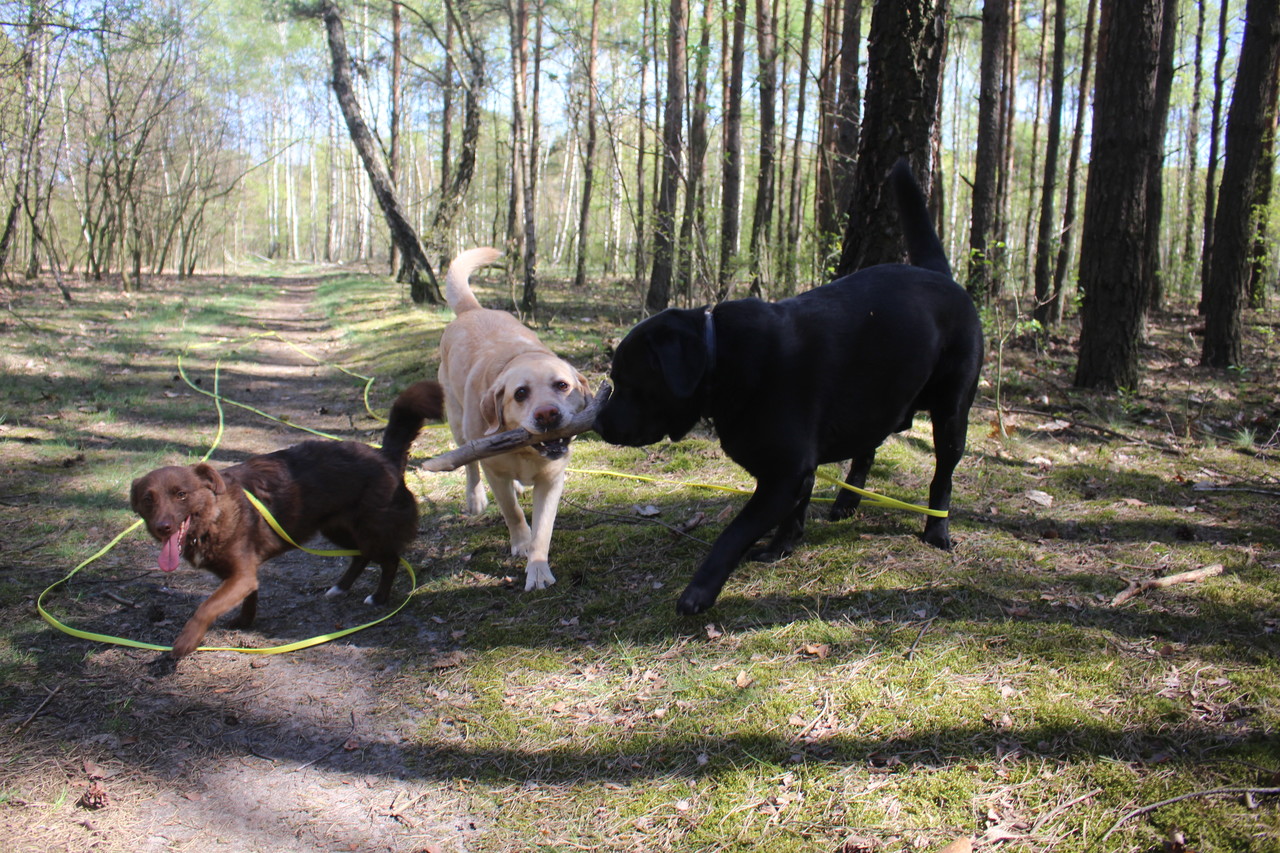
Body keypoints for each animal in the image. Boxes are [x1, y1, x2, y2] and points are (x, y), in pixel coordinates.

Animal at [130, 380, 444, 658]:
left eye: (181, 494)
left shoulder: (240, 575)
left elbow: (206, 607)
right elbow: (249, 598)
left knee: (390, 560)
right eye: (148, 499)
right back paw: (340, 588)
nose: (163, 527)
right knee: (360, 556)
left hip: (372, 531)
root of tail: (386, 455)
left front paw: (186, 642)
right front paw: (244, 622)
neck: (213, 515)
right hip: (336, 529)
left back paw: (379, 598)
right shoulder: (245, 576)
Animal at [437, 247, 592, 591]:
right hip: (456, 421)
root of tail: (473, 310)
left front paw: (538, 568)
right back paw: (475, 499)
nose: (547, 413)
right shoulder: (495, 472)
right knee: (469, 464)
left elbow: (543, 529)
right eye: (520, 393)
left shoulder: (552, 480)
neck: (525, 451)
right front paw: (521, 542)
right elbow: (512, 511)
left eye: (562, 385)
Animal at [594, 160, 983, 614]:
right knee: (868, 448)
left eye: (627, 381)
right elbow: (794, 512)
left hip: (952, 411)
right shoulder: (797, 470)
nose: (598, 424)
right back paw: (846, 502)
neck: (720, 359)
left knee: (943, 474)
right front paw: (781, 546)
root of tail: (941, 275)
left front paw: (699, 591)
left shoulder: (784, 473)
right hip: (878, 398)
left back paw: (937, 532)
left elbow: (734, 533)